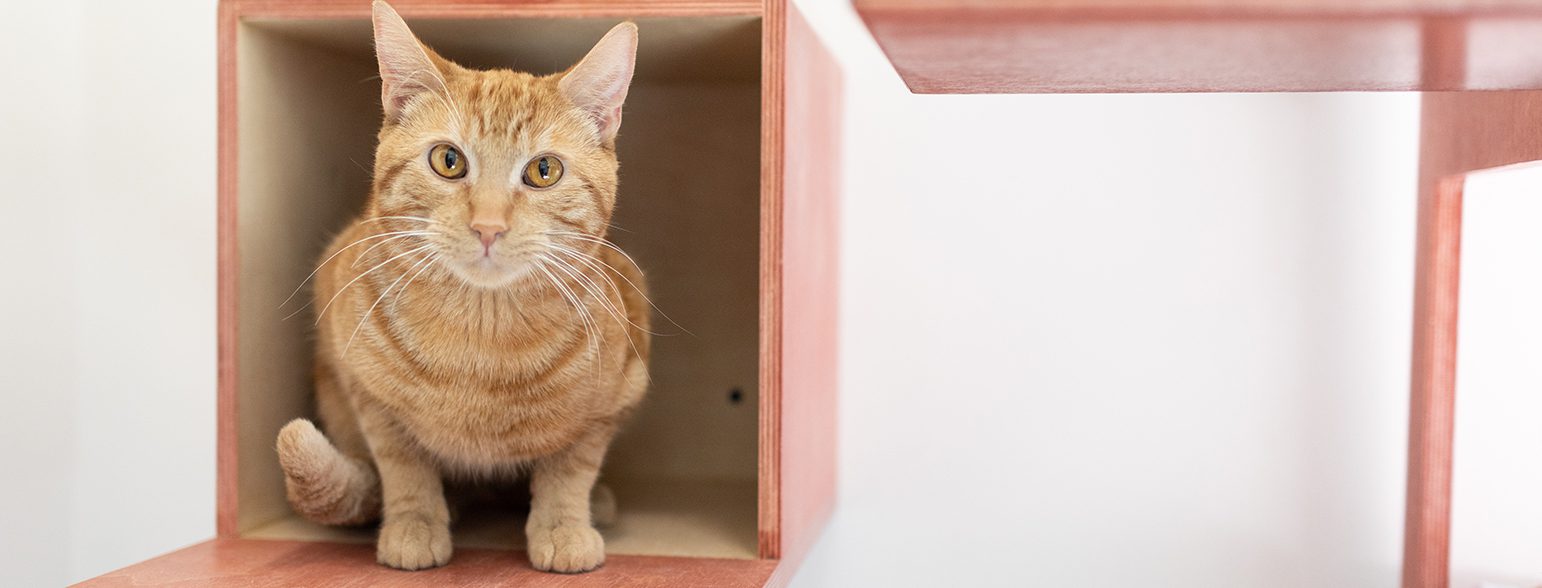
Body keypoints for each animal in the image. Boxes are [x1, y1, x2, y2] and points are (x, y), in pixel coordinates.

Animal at [277, 0, 650, 567]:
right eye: (448, 161)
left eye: (544, 170)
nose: (488, 226)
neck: (479, 342)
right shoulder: (365, 390)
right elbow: (403, 464)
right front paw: (415, 522)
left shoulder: (612, 401)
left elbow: (570, 469)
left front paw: (563, 526)